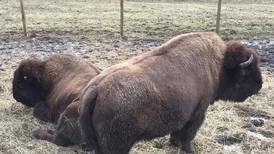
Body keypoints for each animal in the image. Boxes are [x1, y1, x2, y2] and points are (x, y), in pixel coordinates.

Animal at [79, 31, 264, 153]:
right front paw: (189, 149)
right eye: (247, 71)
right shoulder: (198, 113)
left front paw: (174, 144)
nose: (260, 85)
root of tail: (95, 89)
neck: (219, 65)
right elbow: (188, 134)